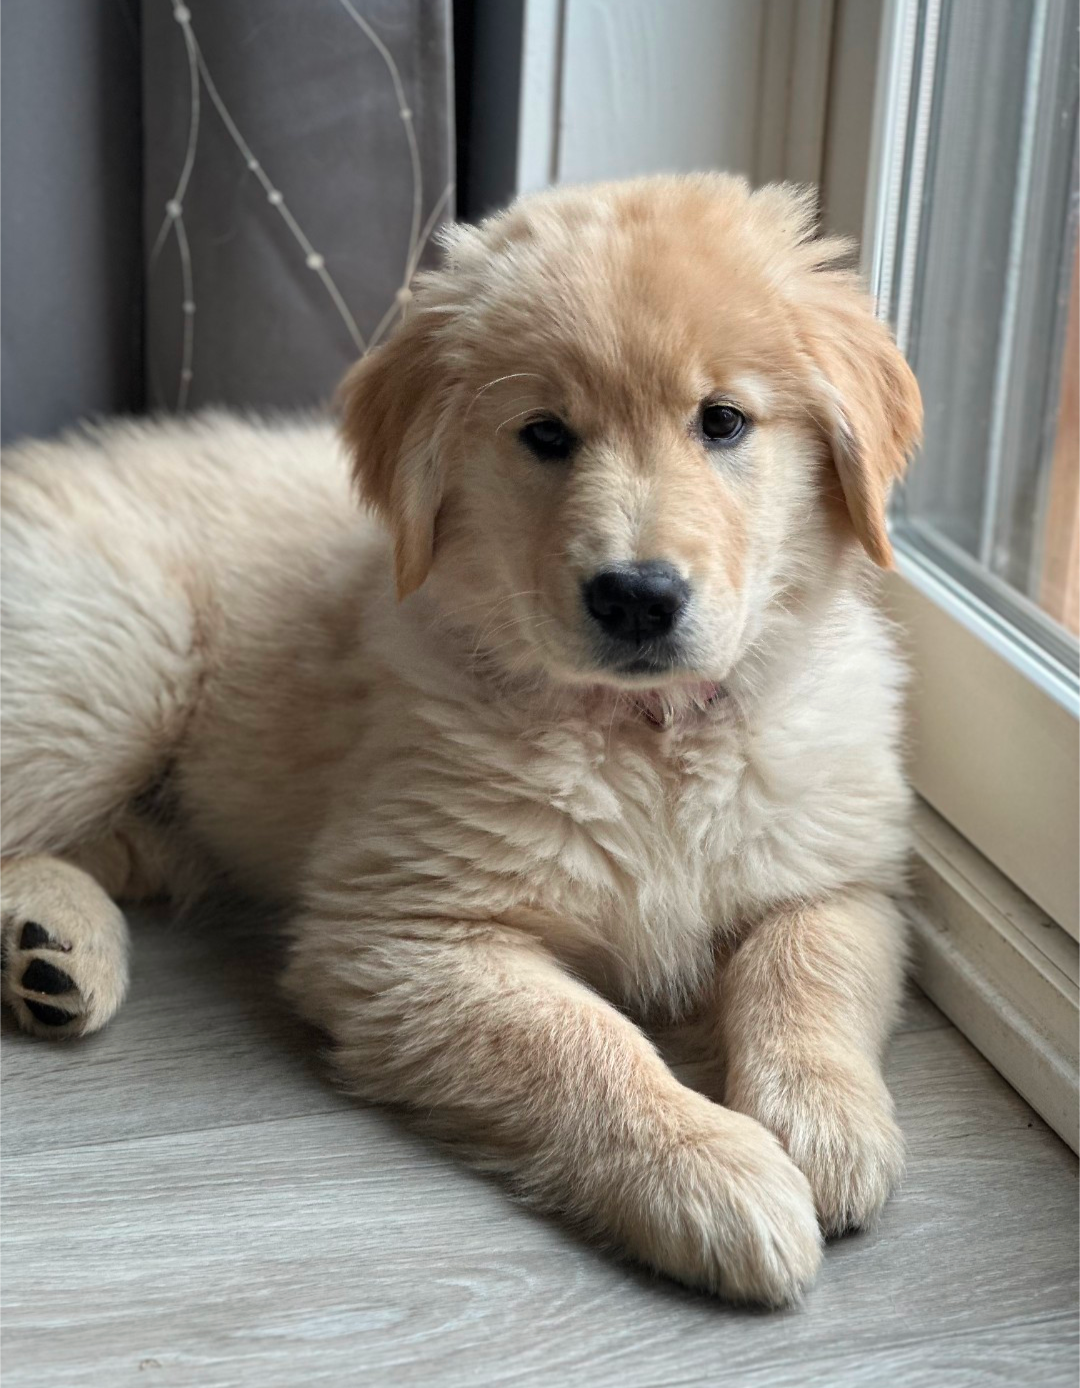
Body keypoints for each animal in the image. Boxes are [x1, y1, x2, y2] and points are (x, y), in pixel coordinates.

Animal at [0, 174, 922, 1304]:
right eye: (546, 434)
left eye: (724, 421)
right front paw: (713, 1170)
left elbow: (807, 970)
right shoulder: (406, 933)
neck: (647, 738)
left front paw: (829, 1125)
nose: (637, 596)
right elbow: (581, 1043)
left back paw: (56, 946)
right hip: (113, 664)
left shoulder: (842, 872)